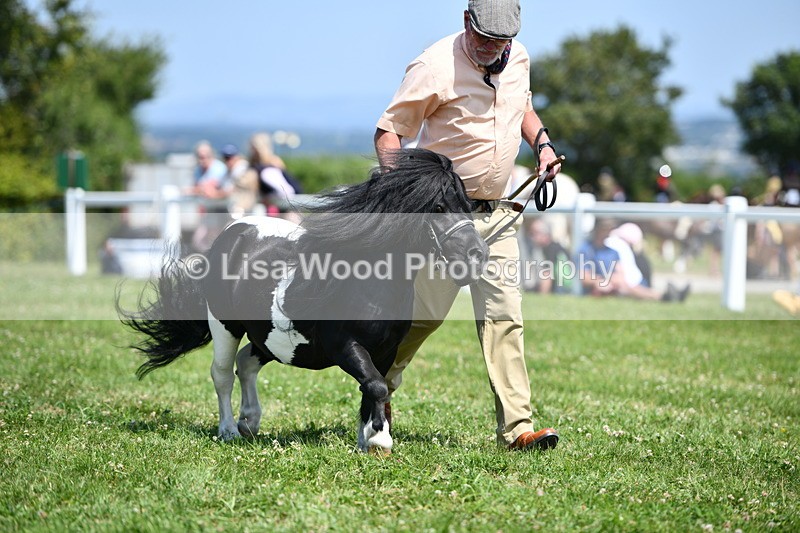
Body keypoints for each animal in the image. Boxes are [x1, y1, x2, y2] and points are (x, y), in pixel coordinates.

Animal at [120, 149, 489, 454]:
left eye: (468, 206)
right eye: (438, 207)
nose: (477, 256)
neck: (368, 283)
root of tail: (232, 232)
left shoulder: (385, 351)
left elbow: (374, 388)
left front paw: (366, 440)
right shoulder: (346, 346)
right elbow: (375, 386)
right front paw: (380, 441)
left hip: (267, 337)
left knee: (246, 363)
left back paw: (249, 421)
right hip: (225, 325)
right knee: (222, 372)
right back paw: (229, 431)